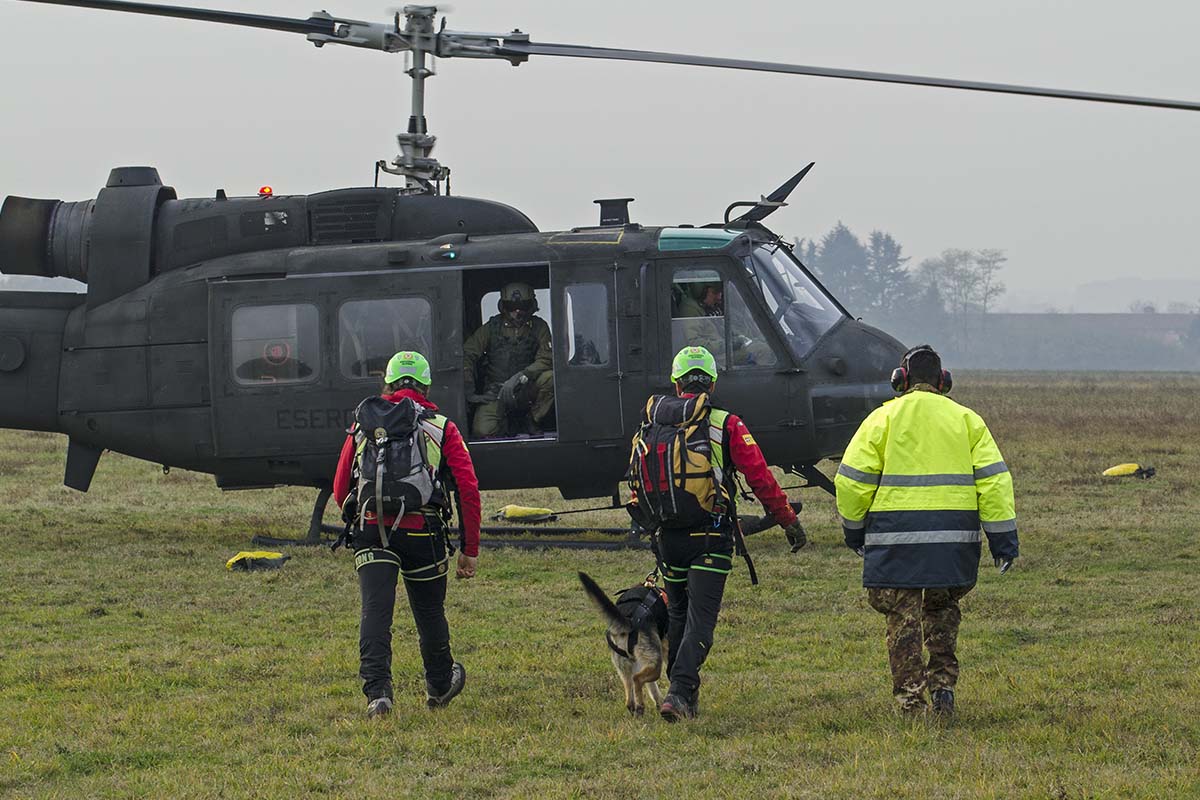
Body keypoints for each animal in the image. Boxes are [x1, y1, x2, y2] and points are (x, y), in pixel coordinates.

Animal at [578, 573, 672, 714]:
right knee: (637, 679)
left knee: (629, 695)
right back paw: (640, 706)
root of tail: (628, 620)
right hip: (655, 664)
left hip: (624, 666)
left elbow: (652, 688)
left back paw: (636, 708)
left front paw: (659, 702)